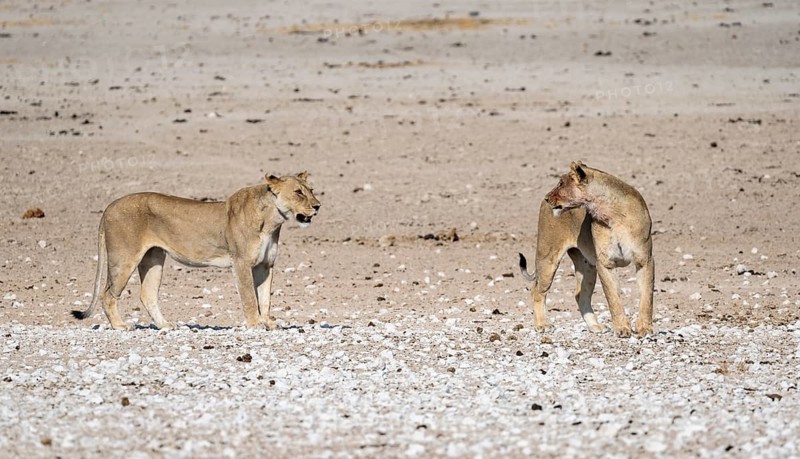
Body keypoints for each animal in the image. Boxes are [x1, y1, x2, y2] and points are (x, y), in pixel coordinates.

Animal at [72, 172, 320, 331]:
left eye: (311, 190)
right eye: (298, 192)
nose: (318, 206)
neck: (272, 221)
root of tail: (109, 206)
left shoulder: (265, 265)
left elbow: (265, 297)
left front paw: (268, 323)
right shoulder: (241, 263)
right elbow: (250, 297)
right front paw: (255, 325)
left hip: (153, 258)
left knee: (147, 294)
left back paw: (165, 325)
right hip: (124, 258)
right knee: (108, 294)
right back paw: (120, 326)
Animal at [518, 161, 654, 338]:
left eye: (561, 183)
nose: (547, 198)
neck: (613, 214)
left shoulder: (645, 260)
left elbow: (646, 297)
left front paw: (645, 328)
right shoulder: (604, 263)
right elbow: (613, 299)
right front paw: (622, 328)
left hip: (587, 267)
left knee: (580, 295)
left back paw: (595, 326)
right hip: (548, 256)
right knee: (536, 290)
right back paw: (542, 324)